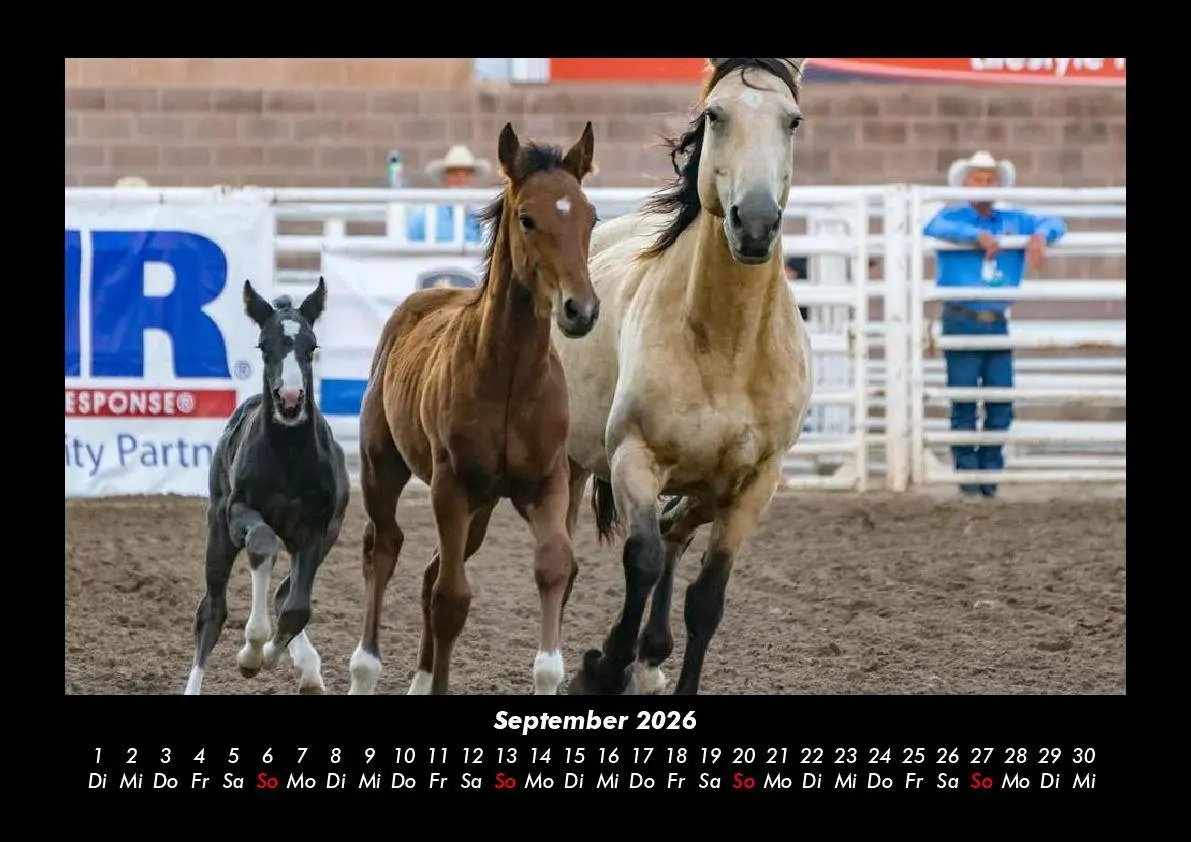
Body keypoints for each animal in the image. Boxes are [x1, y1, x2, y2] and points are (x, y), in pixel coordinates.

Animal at [184, 278, 351, 695]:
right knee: (211, 611)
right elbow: (261, 544)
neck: (288, 459)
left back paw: (308, 670)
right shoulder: (238, 513)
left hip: (328, 536)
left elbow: (297, 608)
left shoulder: (315, 529)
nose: (290, 399)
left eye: (312, 346)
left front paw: (274, 657)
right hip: (218, 530)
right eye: (264, 345)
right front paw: (251, 651)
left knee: (284, 593)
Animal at [347, 121, 600, 696]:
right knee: (384, 548)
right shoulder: (451, 486)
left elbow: (554, 566)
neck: (508, 379)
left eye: (591, 216)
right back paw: (364, 669)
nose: (581, 309)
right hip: (382, 468)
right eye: (527, 218)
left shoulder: (546, 483)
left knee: (429, 569)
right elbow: (451, 600)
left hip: (482, 508)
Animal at [554, 58, 814, 696]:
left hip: (705, 486)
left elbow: (707, 598)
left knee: (676, 532)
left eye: (792, 121)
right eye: (715, 115)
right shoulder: (634, 457)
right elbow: (641, 559)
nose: (756, 222)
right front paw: (603, 668)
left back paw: (651, 657)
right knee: (572, 557)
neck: (727, 347)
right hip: (570, 464)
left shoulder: (753, 486)